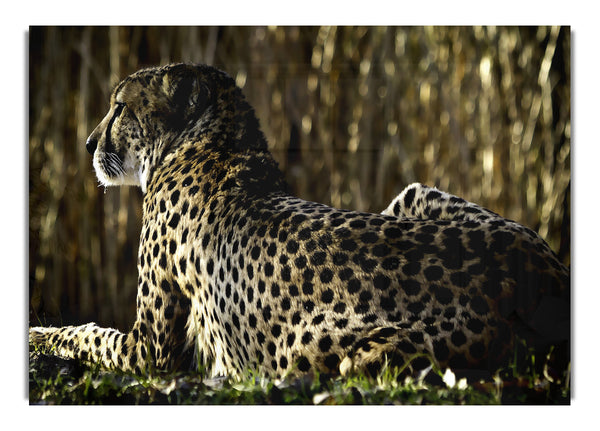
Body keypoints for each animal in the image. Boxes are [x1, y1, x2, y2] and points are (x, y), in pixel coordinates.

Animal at [30, 62, 568, 380]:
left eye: (120, 107)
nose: (87, 144)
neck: (210, 139)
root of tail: (543, 277)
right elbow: (88, 332)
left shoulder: (150, 350)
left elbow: (85, 332)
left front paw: (37, 336)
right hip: (416, 194)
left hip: (336, 353)